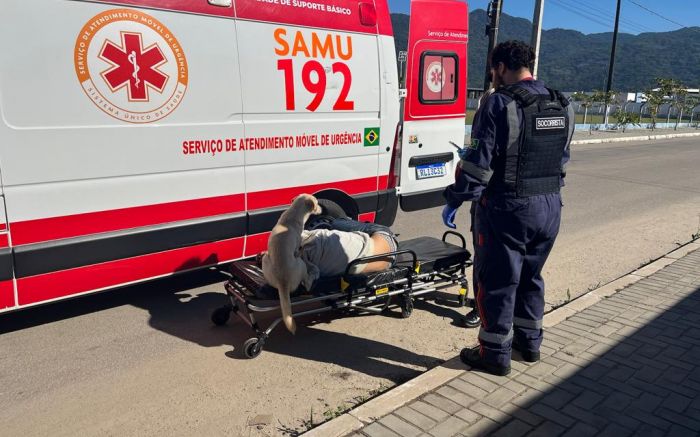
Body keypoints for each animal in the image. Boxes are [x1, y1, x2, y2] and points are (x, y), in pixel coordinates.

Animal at [262, 192, 322, 332]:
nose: (322, 208)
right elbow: (298, 247)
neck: (293, 213)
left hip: (265, 258)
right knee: (307, 284)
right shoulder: (296, 247)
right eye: (317, 203)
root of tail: (282, 282)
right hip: (301, 264)